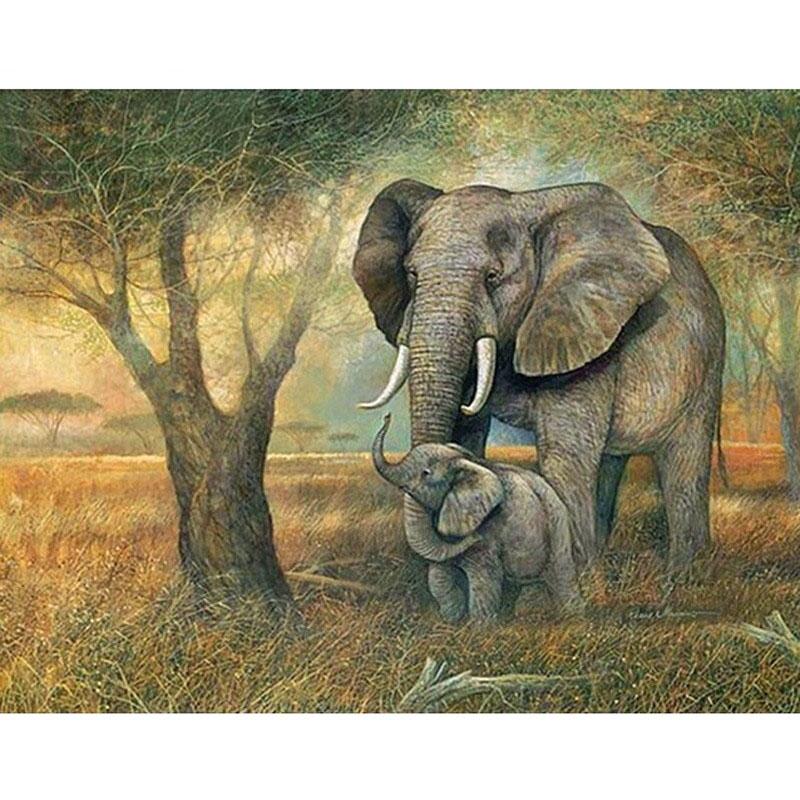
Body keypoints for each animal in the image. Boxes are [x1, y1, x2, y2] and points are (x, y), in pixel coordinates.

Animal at [353, 179, 725, 584]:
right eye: (411, 275)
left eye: (492, 277)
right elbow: (465, 432)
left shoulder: (582, 328)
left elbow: (564, 455)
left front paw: (571, 584)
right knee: (612, 461)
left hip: (705, 365)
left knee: (684, 463)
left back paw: (684, 576)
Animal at [372, 414, 584, 622]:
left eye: (426, 473)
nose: (387, 417)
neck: (467, 462)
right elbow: (439, 572)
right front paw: (452, 620)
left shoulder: (489, 526)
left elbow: (483, 577)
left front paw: (480, 628)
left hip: (558, 526)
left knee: (562, 575)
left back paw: (573, 617)